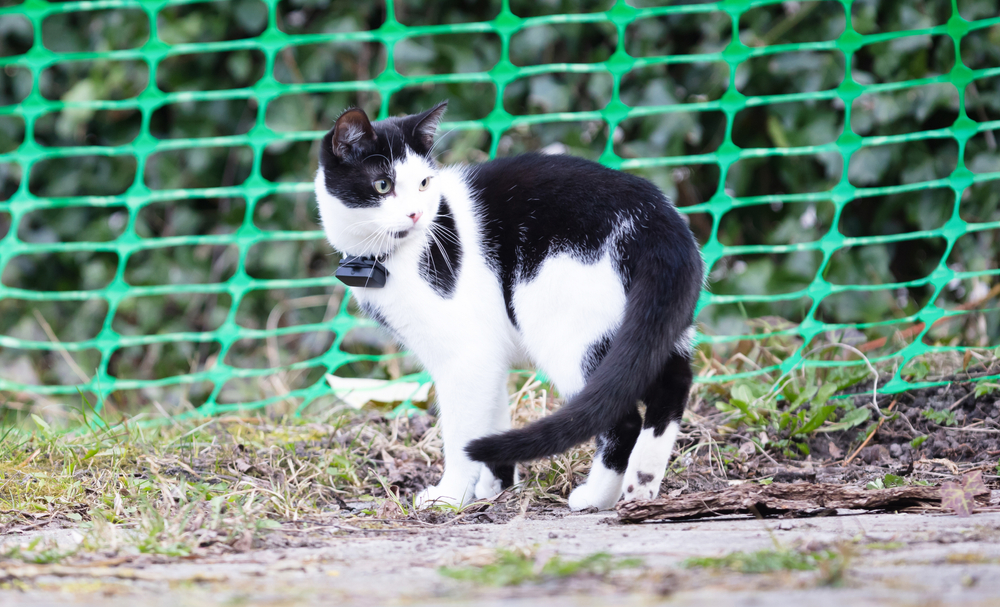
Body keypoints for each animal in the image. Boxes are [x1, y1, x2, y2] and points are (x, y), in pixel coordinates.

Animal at [314, 102, 704, 510]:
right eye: (383, 186)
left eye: (423, 184)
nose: (415, 215)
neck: (387, 255)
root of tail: (656, 217)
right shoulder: (488, 357)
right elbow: (494, 415)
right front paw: (495, 487)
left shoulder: (467, 356)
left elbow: (462, 434)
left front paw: (450, 496)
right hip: (656, 324)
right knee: (672, 386)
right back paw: (642, 484)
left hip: (567, 328)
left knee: (621, 417)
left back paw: (595, 498)